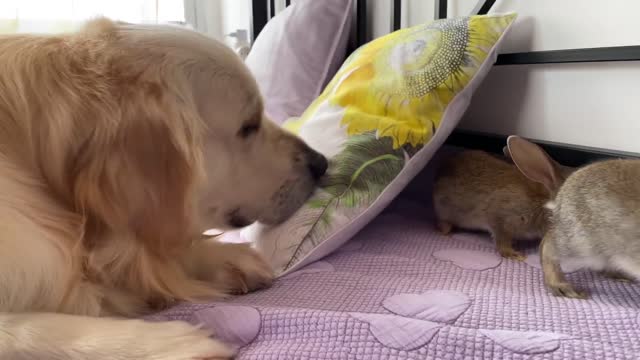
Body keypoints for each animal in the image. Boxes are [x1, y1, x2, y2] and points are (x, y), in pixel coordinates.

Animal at [432, 136, 572, 260]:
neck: (542, 203)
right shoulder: (501, 218)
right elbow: (501, 240)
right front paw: (515, 255)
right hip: (445, 209)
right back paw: (446, 232)